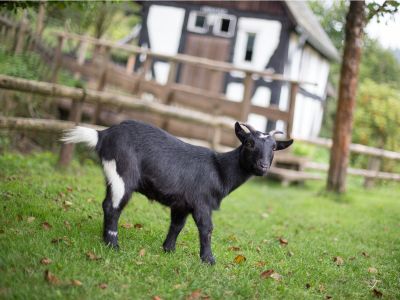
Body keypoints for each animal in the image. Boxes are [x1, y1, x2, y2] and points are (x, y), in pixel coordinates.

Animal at [63, 120, 294, 264]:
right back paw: (113, 245)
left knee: (107, 203)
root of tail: (103, 134)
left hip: (113, 174)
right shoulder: (202, 202)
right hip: (123, 172)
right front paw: (209, 260)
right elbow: (206, 228)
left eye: (274, 147)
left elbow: (177, 225)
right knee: (113, 207)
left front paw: (168, 250)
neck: (219, 169)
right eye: (249, 142)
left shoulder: (182, 203)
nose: (263, 166)